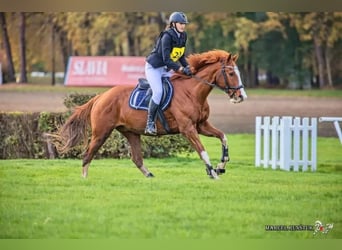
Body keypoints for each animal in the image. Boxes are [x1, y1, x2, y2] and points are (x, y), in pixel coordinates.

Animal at [54, 49, 246, 180]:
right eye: (230, 73)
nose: (241, 96)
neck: (192, 92)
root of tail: (101, 96)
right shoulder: (188, 129)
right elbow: (202, 150)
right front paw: (212, 172)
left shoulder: (201, 125)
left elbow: (223, 137)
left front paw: (221, 166)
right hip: (101, 132)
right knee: (88, 154)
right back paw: (84, 178)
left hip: (131, 133)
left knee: (137, 158)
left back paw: (150, 176)